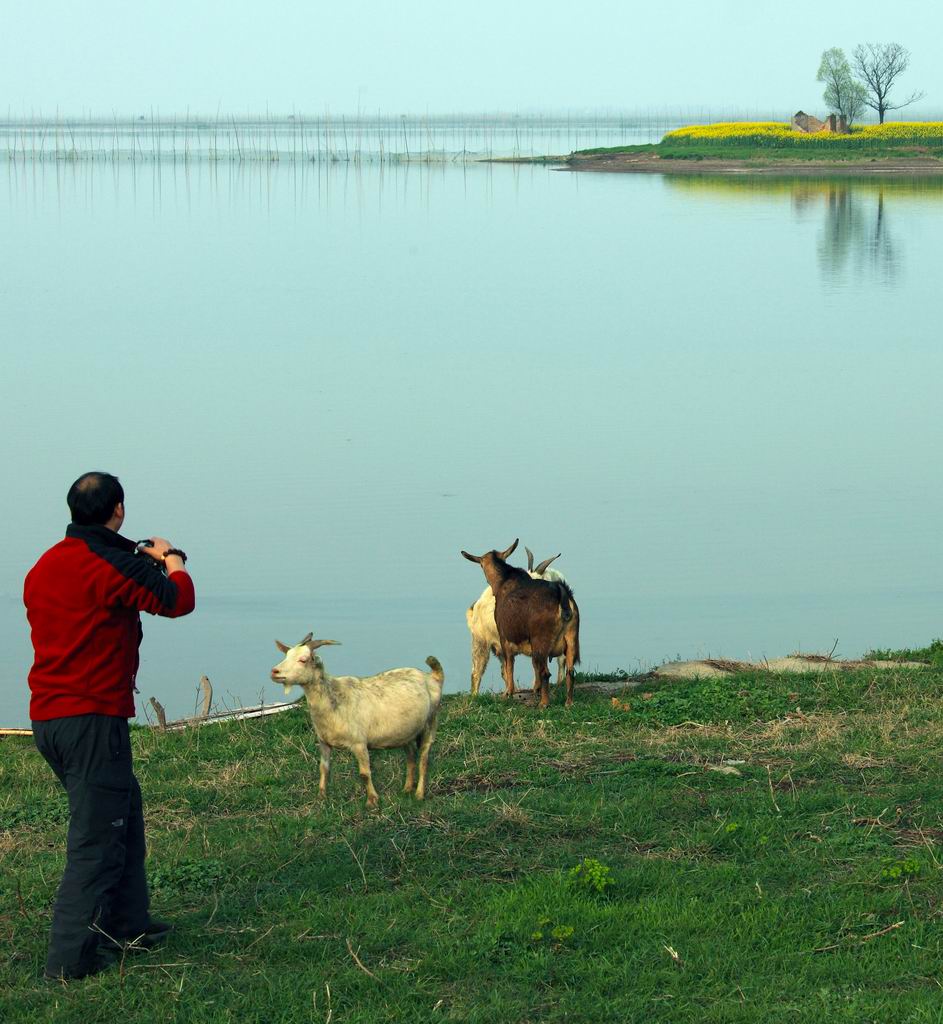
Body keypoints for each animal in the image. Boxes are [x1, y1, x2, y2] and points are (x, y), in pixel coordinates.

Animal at [270, 630, 444, 806]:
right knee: (411, 756)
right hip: (406, 732)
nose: (274, 671)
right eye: (286, 655)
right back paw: (407, 788)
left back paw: (419, 794)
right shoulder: (324, 742)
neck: (334, 698)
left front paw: (372, 801)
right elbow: (323, 768)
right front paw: (321, 797)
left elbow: (364, 773)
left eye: (303, 659)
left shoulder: (359, 743)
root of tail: (433, 677)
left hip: (431, 721)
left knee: (424, 759)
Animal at [458, 540, 577, 708]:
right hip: (570, 638)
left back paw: (543, 702)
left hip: (491, 642)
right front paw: (533, 689)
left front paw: (511, 693)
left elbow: (512, 666)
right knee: (569, 671)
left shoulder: (506, 638)